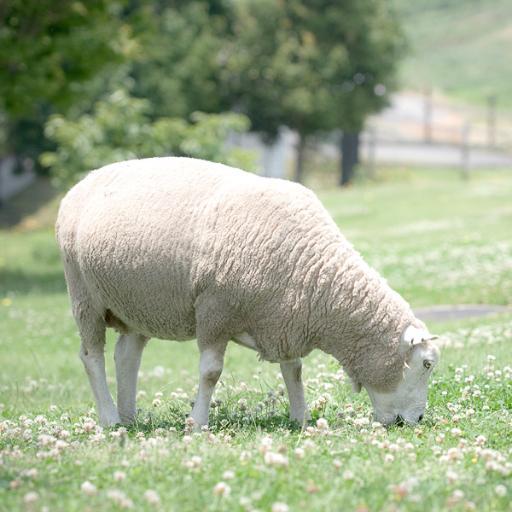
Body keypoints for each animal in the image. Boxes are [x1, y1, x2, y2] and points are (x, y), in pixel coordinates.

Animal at [57, 156, 440, 428]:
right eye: (426, 364)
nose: (417, 420)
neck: (315, 272)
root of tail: (83, 182)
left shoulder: (284, 319)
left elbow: (294, 370)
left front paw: (301, 418)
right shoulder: (215, 311)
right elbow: (211, 373)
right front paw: (198, 423)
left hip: (138, 303)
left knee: (127, 355)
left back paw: (130, 418)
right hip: (84, 294)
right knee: (92, 357)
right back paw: (110, 419)